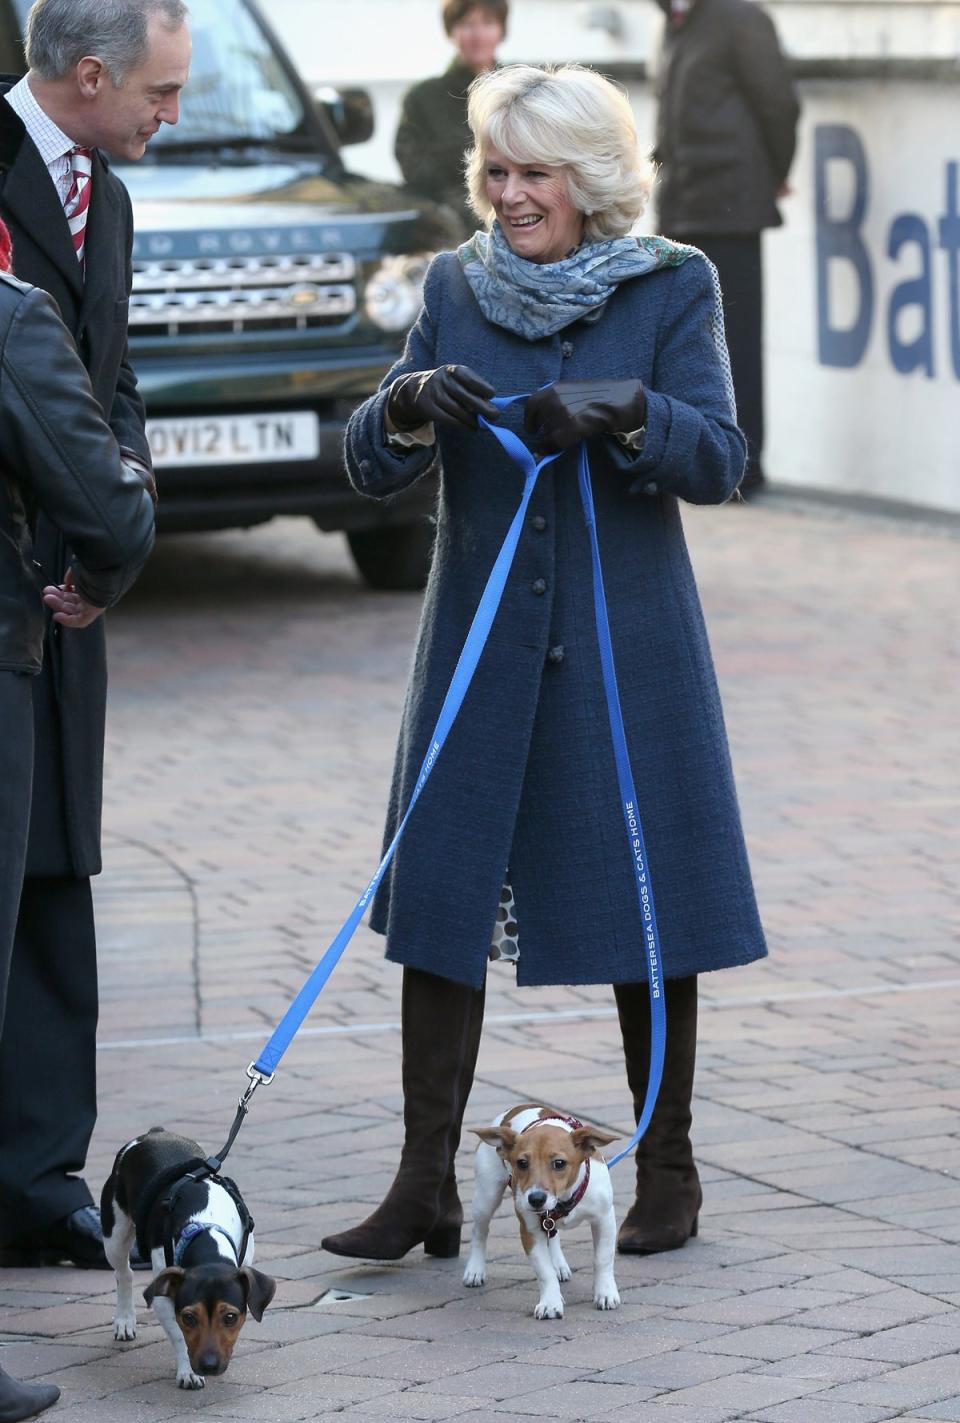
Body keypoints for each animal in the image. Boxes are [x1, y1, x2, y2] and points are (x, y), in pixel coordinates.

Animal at [101, 1132, 274, 1388]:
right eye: (189, 1317)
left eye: (230, 1317)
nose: (209, 1365)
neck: (206, 1227)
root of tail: (152, 1133)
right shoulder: (164, 1298)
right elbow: (180, 1337)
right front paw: (189, 1372)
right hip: (114, 1235)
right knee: (124, 1274)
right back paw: (124, 1320)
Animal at [466, 1098, 622, 1320]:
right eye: (522, 1163)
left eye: (559, 1163)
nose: (536, 1199)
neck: (562, 1199)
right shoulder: (529, 1231)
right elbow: (544, 1272)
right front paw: (551, 1302)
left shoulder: (604, 1219)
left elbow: (603, 1258)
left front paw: (606, 1293)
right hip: (486, 1197)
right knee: (479, 1232)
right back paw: (475, 1270)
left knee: (553, 1235)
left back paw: (559, 1264)